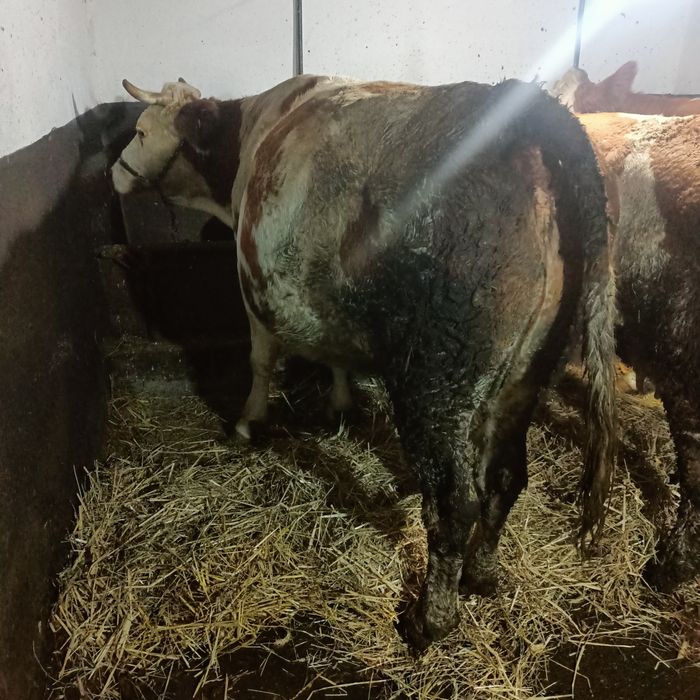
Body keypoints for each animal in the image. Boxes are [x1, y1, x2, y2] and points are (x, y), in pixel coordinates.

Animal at [112, 75, 617, 647]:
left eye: (140, 130)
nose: (114, 172)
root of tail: (534, 120)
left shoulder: (254, 290)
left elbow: (261, 360)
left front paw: (247, 422)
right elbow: (335, 360)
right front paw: (339, 405)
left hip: (436, 381)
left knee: (453, 502)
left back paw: (429, 619)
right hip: (526, 375)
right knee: (506, 477)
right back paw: (482, 574)